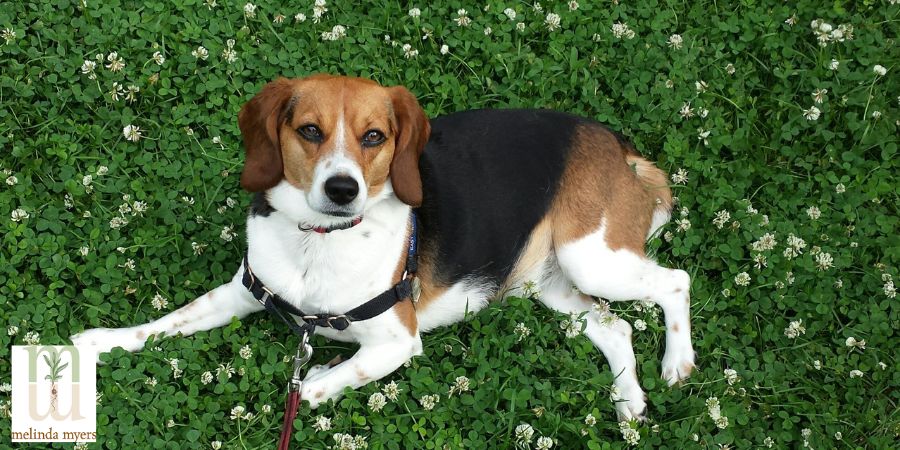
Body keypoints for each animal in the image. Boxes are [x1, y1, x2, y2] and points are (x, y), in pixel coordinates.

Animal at [74, 74, 700, 422]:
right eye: (308, 130)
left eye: (374, 136)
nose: (342, 189)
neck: (319, 242)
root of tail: (619, 146)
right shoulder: (242, 293)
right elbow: (164, 324)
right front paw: (99, 342)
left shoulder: (398, 342)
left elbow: (326, 379)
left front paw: (310, 388)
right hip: (548, 285)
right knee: (616, 327)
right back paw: (629, 404)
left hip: (591, 256)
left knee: (676, 281)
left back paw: (676, 364)